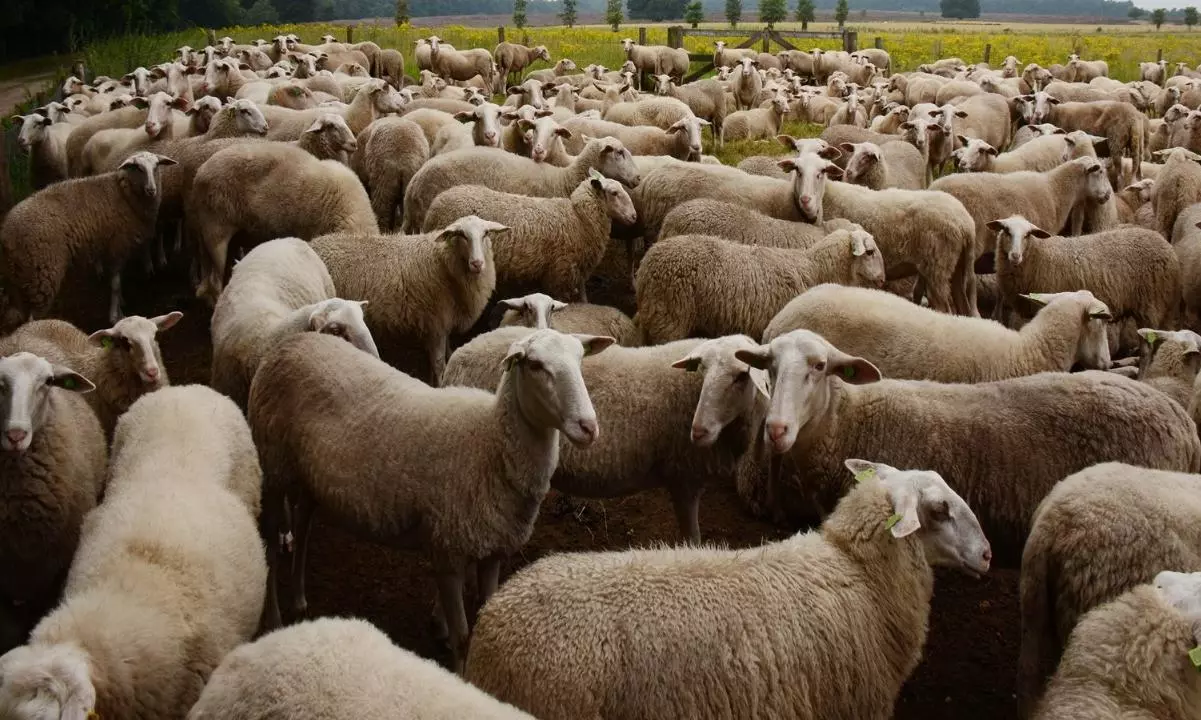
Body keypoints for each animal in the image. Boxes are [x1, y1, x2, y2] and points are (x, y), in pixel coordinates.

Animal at [0, 152, 175, 327]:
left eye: (156, 166)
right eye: (138, 168)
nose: (151, 190)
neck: (124, 194)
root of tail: (7, 232)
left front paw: (120, 305)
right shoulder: (118, 245)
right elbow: (116, 285)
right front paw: (115, 316)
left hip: (19, 277)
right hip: (42, 272)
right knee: (33, 316)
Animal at [249, 328, 608, 670]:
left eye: (581, 359)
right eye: (535, 365)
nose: (588, 427)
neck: (489, 444)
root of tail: (292, 342)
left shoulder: (493, 549)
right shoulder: (448, 551)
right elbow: (462, 636)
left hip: (309, 473)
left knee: (303, 522)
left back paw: (299, 600)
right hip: (272, 464)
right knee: (270, 543)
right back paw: (274, 618)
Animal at [311, 216, 506, 383]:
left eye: (485, 233)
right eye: (461, 235)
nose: (477, 263)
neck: (443, 263)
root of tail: (314, 243)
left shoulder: (443, 323)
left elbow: (447, 355)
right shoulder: (436, 325)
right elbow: (439, 364)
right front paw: (438, 384)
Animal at [989, 216, 1181, 351]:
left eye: (1027, 235)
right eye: (1006, 231)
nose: (1015, 256)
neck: (1040, 255)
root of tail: (1165, 245)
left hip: (1151, 304)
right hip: (1165, 305)